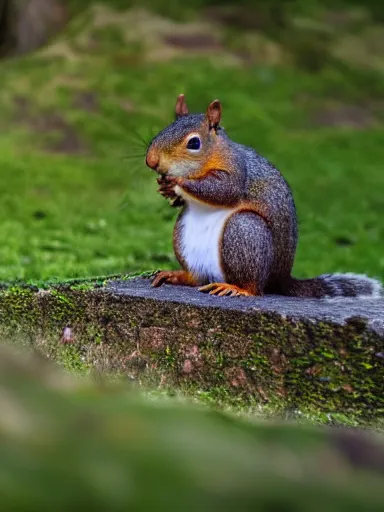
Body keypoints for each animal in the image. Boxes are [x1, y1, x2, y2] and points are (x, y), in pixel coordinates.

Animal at [145, 94, 380, 298]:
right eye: (163, 130)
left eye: (194, 143)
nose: (151, 161)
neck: (214, 154)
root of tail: (281, 279)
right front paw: (166, 189)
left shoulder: (237, 171)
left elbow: (224, 189)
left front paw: (178, 182)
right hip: (184, 237)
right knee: (196, 278)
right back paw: (176, 275)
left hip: (245, 231)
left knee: (255, 287)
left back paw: (238, 288)